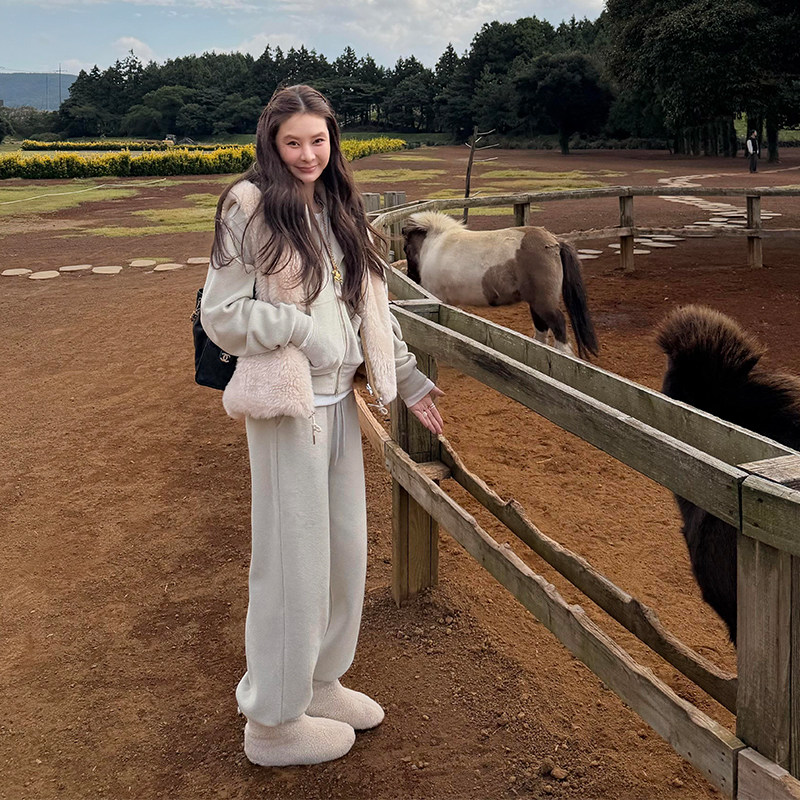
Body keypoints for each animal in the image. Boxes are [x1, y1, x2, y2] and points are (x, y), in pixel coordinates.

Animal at [402, 211, 599, 359]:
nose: (411, 276)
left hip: (544, 304)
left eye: (405, 248)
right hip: (535, 304)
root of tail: (555, 242)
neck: (434, 246)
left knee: (558, 326)